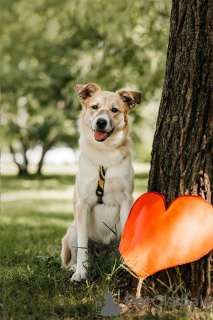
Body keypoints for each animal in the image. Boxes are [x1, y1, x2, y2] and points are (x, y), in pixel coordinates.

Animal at [60, 82, 142, 280]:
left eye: (114, 110)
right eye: (94, 107)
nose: (101, 122)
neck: (105, 154)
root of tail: (101, 255)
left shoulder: (125, 199)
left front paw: (126, 267)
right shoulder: (83, 203)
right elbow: (83, 246)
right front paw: (81, 273)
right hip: (72, 232)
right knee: (70, 259)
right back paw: (75, 268)